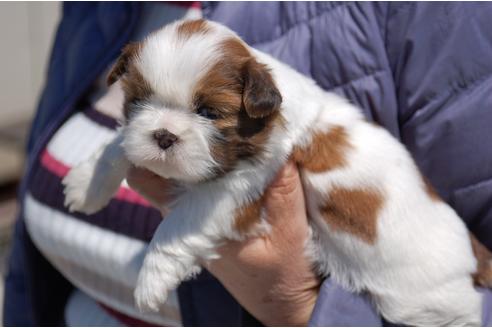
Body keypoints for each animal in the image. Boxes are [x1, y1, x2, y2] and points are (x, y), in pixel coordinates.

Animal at [62, 19, 492, 326]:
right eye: (138, 101)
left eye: (209, 112)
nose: (164, 135)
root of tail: (474, 254)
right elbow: (121, 142)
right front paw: (87, 183)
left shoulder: (237, 191)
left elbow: (177, 225)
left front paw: (151, 279)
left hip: (432, 306)